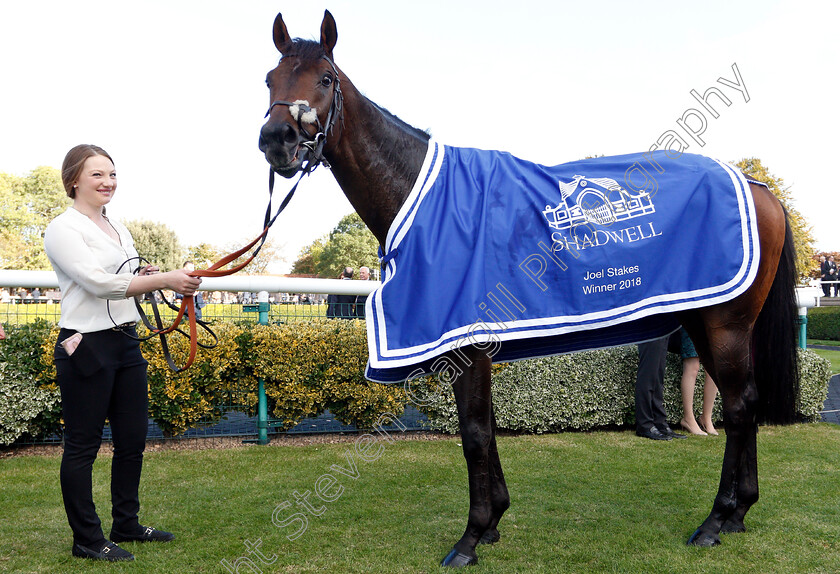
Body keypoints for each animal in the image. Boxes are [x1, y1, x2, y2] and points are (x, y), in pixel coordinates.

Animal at [260, 10, 796, 572]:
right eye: (270, 80)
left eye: (324, 79)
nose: (277, 138)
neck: (420, 196)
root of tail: (757, 187)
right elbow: (487, 428)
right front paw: (494, 520)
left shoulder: (466, 346)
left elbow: (474, 434)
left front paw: (471, 537)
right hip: (702, 321)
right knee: (744, 402)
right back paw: (737, 513)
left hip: (725, 324)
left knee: (738, 407)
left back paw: (716, 520)